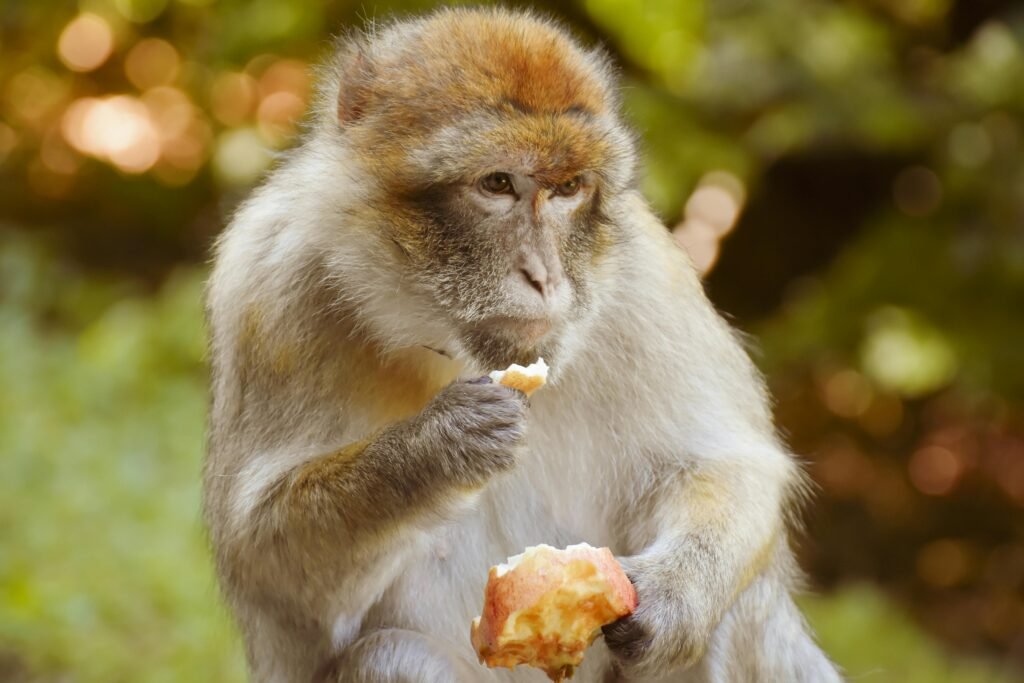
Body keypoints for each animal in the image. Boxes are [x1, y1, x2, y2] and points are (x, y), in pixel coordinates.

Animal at [203, 7, 842, 683]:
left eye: (568, 189)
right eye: (497, 183)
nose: (545, 276)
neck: (436, 341)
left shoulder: (649, 279)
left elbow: (729, 463)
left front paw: (673, 599)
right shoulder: (269, 284)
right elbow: (268, 573)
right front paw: (437, 447)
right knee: (391, 657)